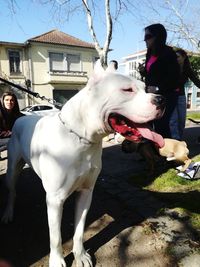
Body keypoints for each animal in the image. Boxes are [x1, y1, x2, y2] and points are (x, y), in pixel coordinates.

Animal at [1, 61, 164, 267]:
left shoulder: (86, 192)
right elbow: (55, 236)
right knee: (12, 191)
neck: (82, 138)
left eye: (145, 88)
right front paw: (57, 261)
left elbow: (79, 230)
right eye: (127, 90)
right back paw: (8, 212)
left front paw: (80, 255)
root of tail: (21, 117)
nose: (161, 99)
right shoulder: (55, 200)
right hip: (12, 170)